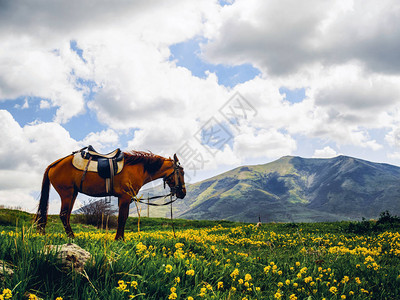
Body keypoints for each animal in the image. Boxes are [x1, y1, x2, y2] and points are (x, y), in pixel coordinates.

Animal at [34, 151, 186, 240]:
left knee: (66, 216)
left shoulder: (125, 198)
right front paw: (119, 239)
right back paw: (72, 237)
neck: (138, 168)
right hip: (66, 193)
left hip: (73, 194)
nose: (183, 193)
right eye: (182, 172)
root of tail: (54, 164)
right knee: (63, 215)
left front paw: (120, 238)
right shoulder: (125, 197)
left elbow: (123, 218)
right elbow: (122, 218)